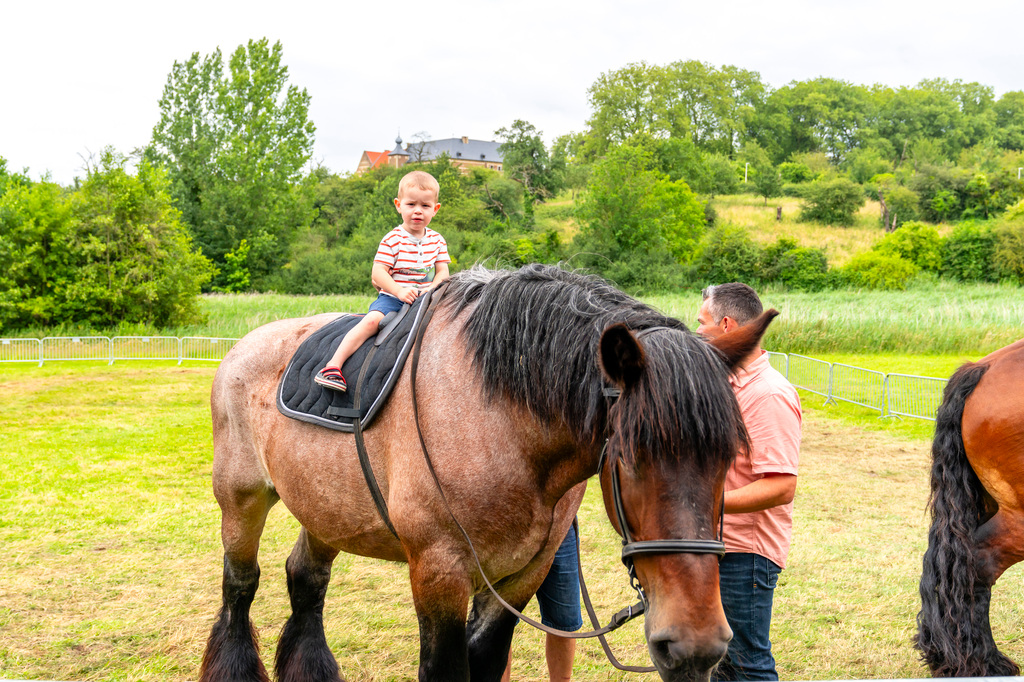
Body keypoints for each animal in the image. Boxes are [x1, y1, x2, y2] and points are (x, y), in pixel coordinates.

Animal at [197, 262, 774, 675]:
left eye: (729, 461)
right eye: (629, 459)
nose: (697, 644)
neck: (498, 417)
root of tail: (246, 344)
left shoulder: (519, 579)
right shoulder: (439, 574)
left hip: (327, 508)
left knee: (306, 581)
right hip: (241, 500)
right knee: (240, 587)